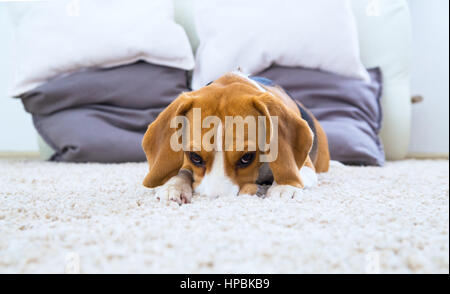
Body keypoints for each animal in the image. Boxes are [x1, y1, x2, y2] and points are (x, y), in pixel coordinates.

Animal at [142, 71, 328, 204]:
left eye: (246, 158)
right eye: (195, 157)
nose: (218, 201)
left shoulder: (306, 167)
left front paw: (284, 188)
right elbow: (182, 172)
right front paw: (173, 186)